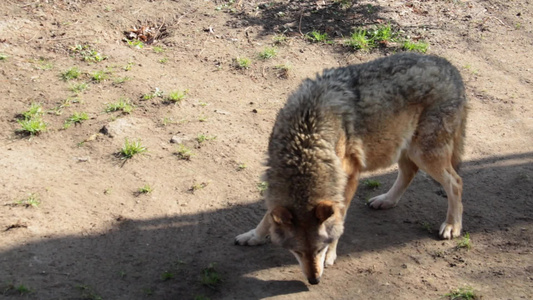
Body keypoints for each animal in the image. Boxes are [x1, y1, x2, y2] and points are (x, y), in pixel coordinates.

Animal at [235, 52, 468, 284]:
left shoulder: (349, 177)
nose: (314, 280)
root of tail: (452, 68)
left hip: (424, 154)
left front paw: (330, 255)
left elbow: (339, 219)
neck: (306, 138)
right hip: (402, 149)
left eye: (319, 249)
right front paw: (254, 236)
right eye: (297, 252)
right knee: (409, 172)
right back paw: (386, 201)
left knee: (455, 182)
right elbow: (268, 216)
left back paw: (452, 226)